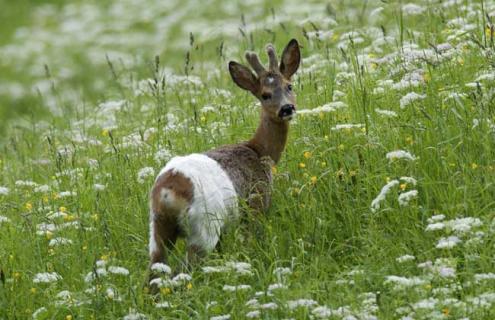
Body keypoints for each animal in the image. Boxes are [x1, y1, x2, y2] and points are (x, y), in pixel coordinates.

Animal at [148, 38, 302, 286]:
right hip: (204, 227)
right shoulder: (256, 204)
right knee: (184, 270)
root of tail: (166, 193)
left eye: (289, 85)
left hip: (157, 229)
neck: (259, 151)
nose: (287, 108)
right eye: (265, 94)